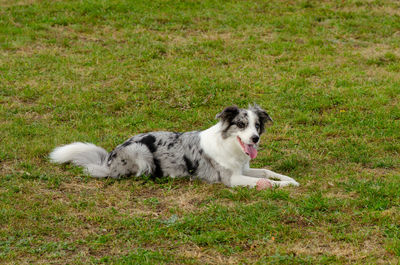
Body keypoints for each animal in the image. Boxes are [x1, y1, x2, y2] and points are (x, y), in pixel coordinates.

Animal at [50, 104, 298, 189]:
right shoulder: (232, 178)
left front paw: (289, 180)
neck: (229, 145)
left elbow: (266, 171)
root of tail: (109, 159)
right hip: (141, 153)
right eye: (241, 124)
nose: (255, 138)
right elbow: (264, 182)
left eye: (257, 125)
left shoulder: (243, 168)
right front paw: (285, 186)